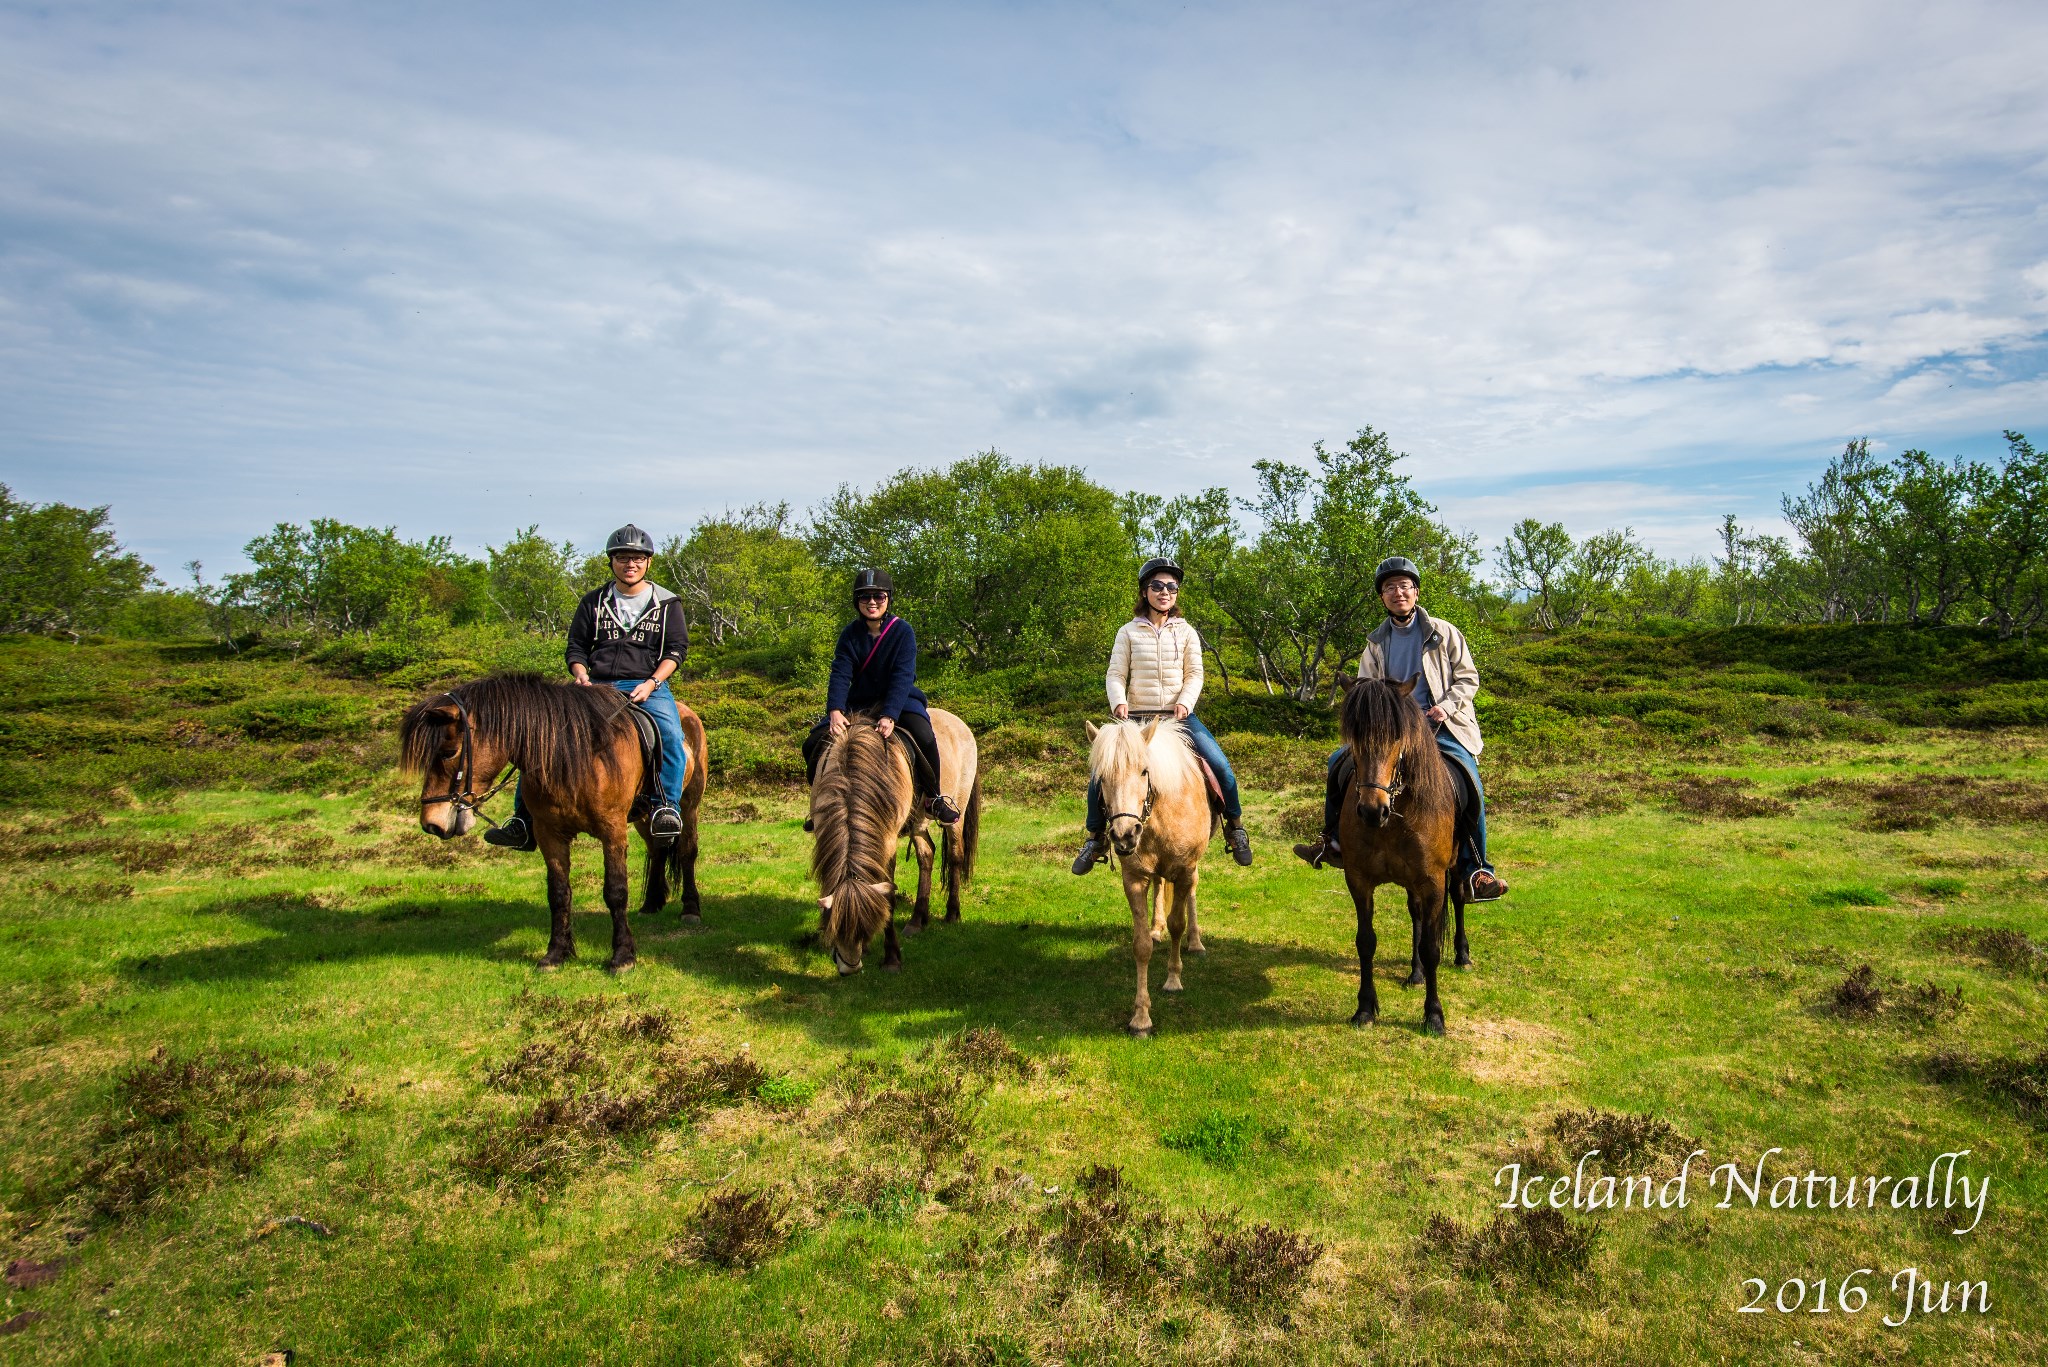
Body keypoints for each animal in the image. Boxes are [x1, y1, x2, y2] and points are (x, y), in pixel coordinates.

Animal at [399, 672, 712, 971]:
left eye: (448, 752)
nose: (431, 823)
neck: (577, 754)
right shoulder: (549, 833)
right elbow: (559, 894)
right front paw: (556, 954)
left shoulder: (612, 830)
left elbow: (616, 891)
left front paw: (622, 956)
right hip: (643, 816)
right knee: (657, 849)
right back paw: (651, 903)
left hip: (688, 807)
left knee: (686, 852)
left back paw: (690, 909)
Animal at [806, 705, 983, 971]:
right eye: (835, 928)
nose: (850, 968)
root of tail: (958, 722)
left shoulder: (888, 841)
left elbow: (887, 894)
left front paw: (891, 957)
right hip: (918, 823)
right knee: (926, 855)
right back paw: (918, 919)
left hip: (956, 811)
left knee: (955, 855)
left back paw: (952, 913)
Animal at [1089, 717, 1212, 1037]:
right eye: (1101, 777)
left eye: (1144, 771)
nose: (1124, 835)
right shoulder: (1133, 879)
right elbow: (1141, 945)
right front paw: (1141, 1017)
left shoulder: (1184, 870)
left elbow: (1178, 924)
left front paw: (1173, 979)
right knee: (1158, 885)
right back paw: (1157, 928)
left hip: (1193, 867)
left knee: (1192, 893)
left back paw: (1196, 942)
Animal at [1335, 672, 1466, 1037]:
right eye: (1353, 735)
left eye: (1397, 736)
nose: (1371, 810)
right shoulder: (1359, 880)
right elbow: (1366, 941)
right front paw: (1365, 1008)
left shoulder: (1433, 881)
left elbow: (1432, 947)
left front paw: (1433, 1015)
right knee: (1416, 914)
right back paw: (1416, 973)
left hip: (1454, 867)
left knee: (1460, 896)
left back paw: (1463, 955)